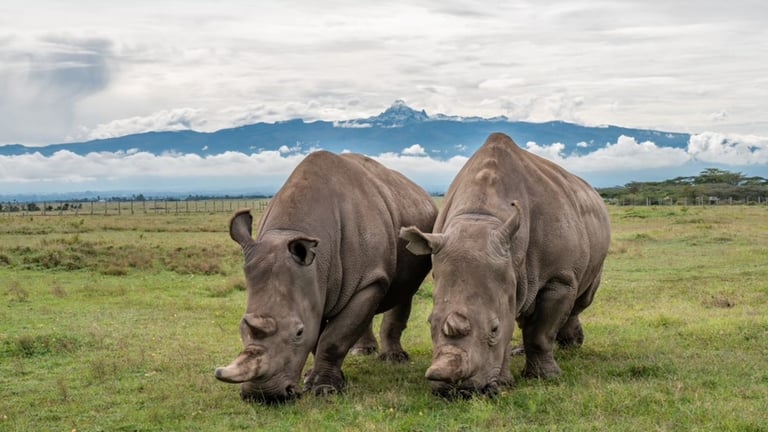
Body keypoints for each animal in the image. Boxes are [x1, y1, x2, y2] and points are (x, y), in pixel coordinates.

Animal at [215, 151, 437, 403]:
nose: (263, 396)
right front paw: (312, 378)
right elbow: (321, 334)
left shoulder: (367, 279)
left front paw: (324, 389)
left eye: (298, 332)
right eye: (241, 328)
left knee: (403, 292)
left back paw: (394, 360)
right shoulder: (313, 283)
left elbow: (333, 337)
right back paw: (362, 352)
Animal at [400, 132, 610, 397]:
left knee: (581, 300)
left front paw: (545, 377)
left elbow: (541, 333)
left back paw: (570, 347)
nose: (455, 390)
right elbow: (512, 320)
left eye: (494, 329)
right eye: (430, 322)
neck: (480, 217)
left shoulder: (559, 278)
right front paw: (504, 383)